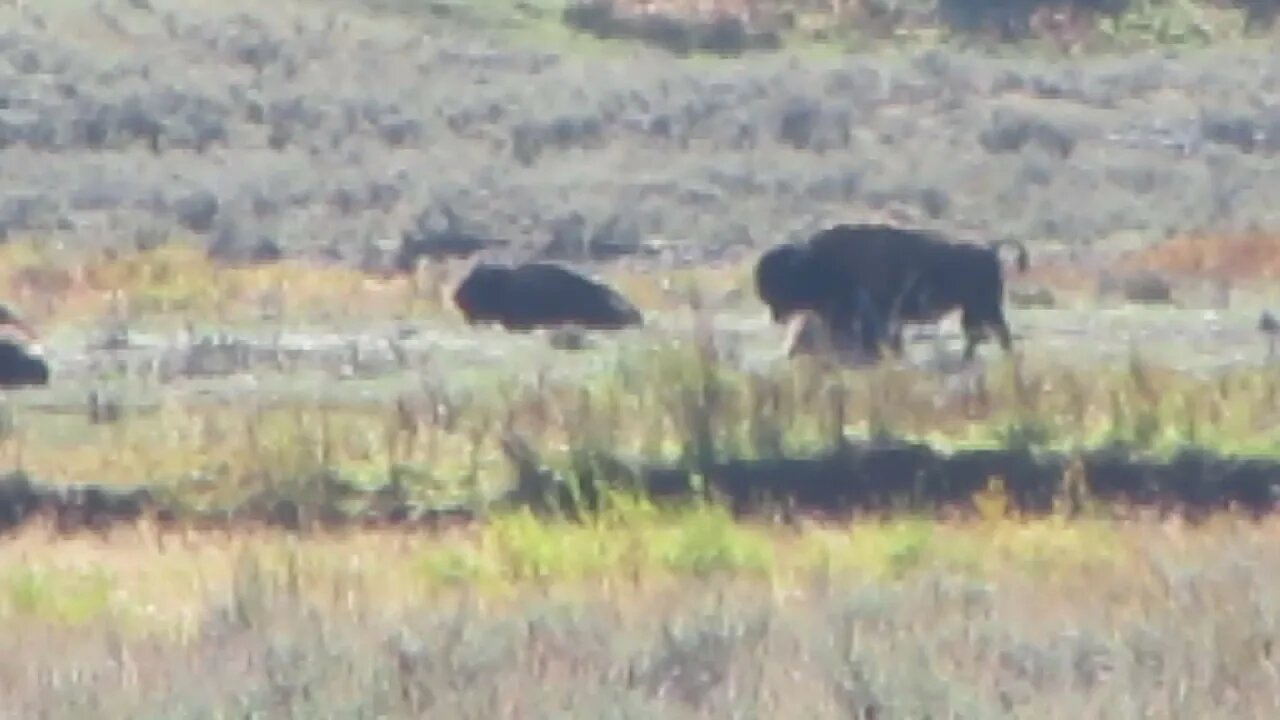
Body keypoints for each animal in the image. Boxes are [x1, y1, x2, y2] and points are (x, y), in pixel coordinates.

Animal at [752, 221, 1034, 361]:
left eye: (782, 278)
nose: (775, 312)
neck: (818, 261)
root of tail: (989, 250)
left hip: (985, 306)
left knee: (994, 334)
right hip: (975, 309)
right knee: (982, 335)